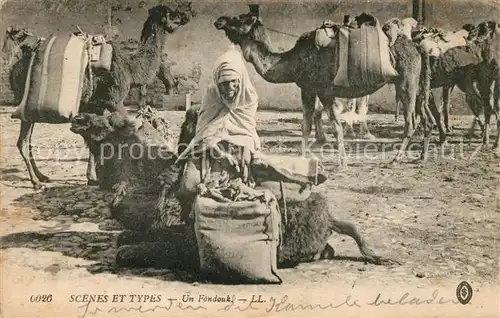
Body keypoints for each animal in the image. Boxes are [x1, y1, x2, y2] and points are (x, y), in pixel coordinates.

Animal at [11, 3, 195, 189]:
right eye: (171, 13)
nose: (185, 16)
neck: (130, 69)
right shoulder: (115, 100)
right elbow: (129, 129)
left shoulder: (97, 105)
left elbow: (93, 138)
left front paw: (92, 178)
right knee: (23, 142)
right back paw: (36, 182)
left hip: (30, 110)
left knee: (28, 140)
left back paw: (43, 177)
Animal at [213, 11, 432, 166]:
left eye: (238, 19)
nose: (219, 21)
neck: (293, 61)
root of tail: (417, 47)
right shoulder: (308, 89)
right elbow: (307, 125)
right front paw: (304, 157)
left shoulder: (322, 90)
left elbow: (334, 126)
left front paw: (341, 162)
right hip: (416, 85)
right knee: (425, 119)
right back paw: (420, 157)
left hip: (407, 83)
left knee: (411, 122)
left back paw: (396, 159)